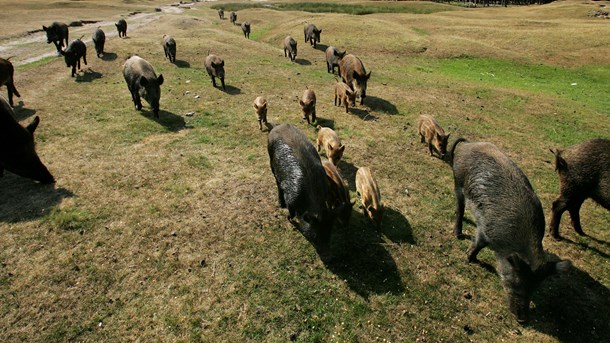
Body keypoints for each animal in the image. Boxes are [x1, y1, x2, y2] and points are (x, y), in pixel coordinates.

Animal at [446, 138, 568, 324]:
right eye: (517, 283)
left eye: (535, 289)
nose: (523, 320)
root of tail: (468, 145)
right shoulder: (485, 229)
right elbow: (478, 244)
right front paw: (469, 259)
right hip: (458, 181)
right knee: (460, 208)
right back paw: (457, 235)